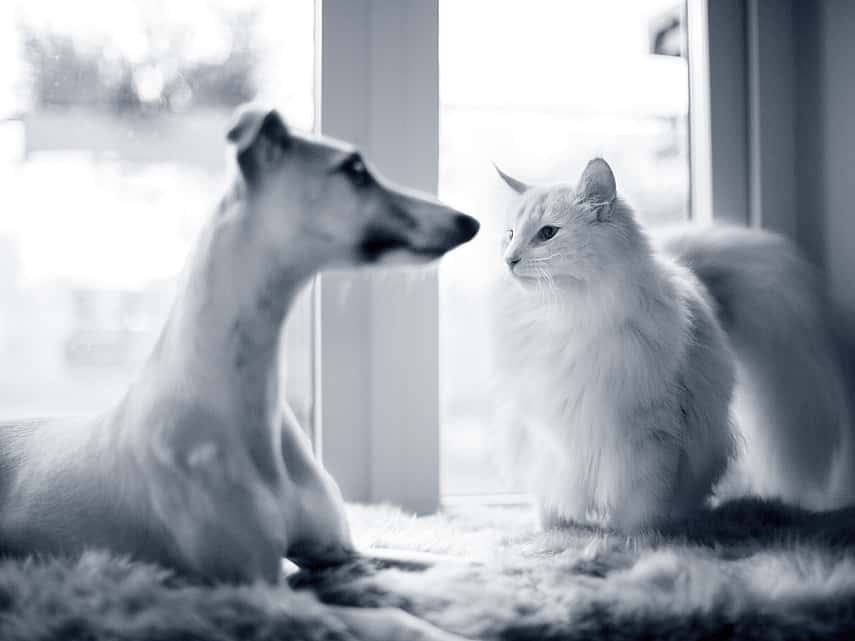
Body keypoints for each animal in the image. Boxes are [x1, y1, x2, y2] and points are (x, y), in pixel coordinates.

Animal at [494, 159, 855, 528]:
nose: (509, 259)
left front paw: (635, 536)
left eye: (547, 234)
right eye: (510, 235)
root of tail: (688, 271)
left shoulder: (649, 435)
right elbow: (554, 493)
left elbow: (638, 505)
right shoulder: (549, 438)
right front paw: (556, 529)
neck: (566, 316)